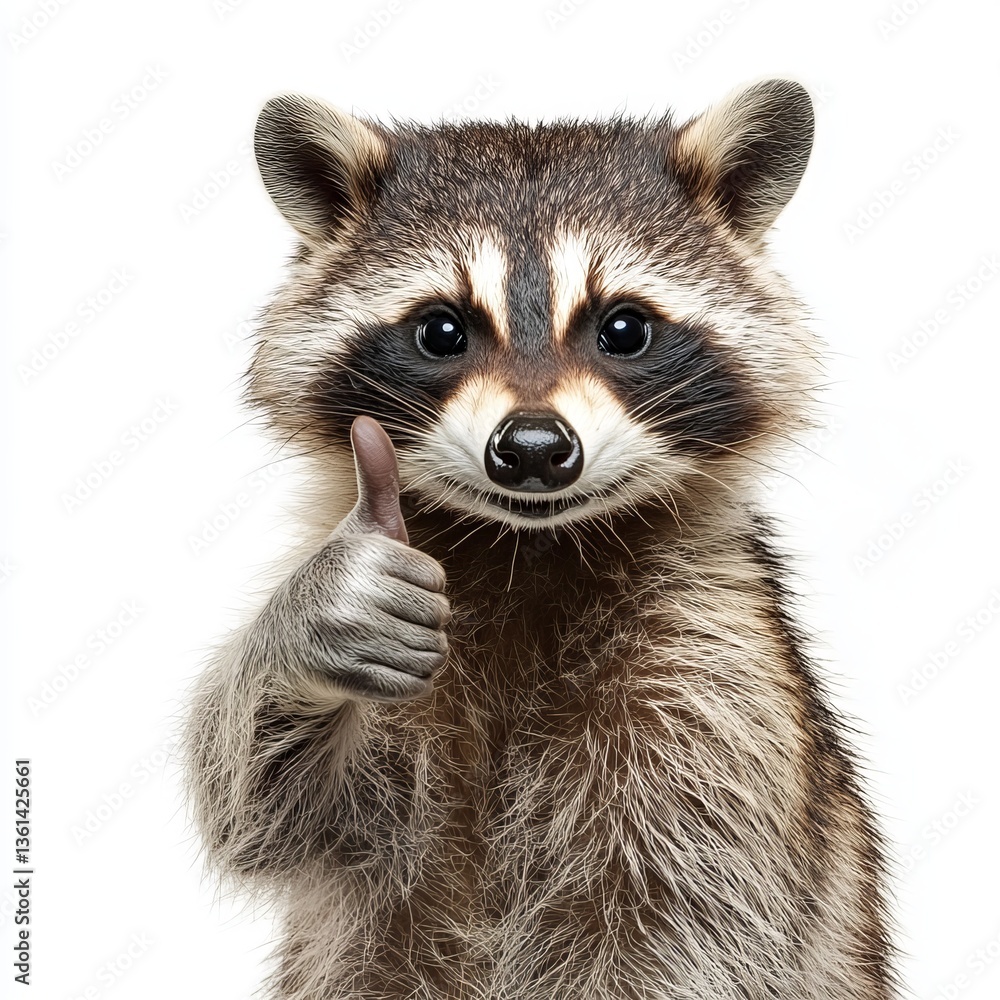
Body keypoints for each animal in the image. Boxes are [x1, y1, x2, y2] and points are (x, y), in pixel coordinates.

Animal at [182, 80, 896, 999]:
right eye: (441, 331)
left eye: (624, 329)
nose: (530, 448)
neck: (530, 547)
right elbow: (262, 807)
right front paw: (324, 609)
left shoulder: (721, 679)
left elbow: (690, 922)